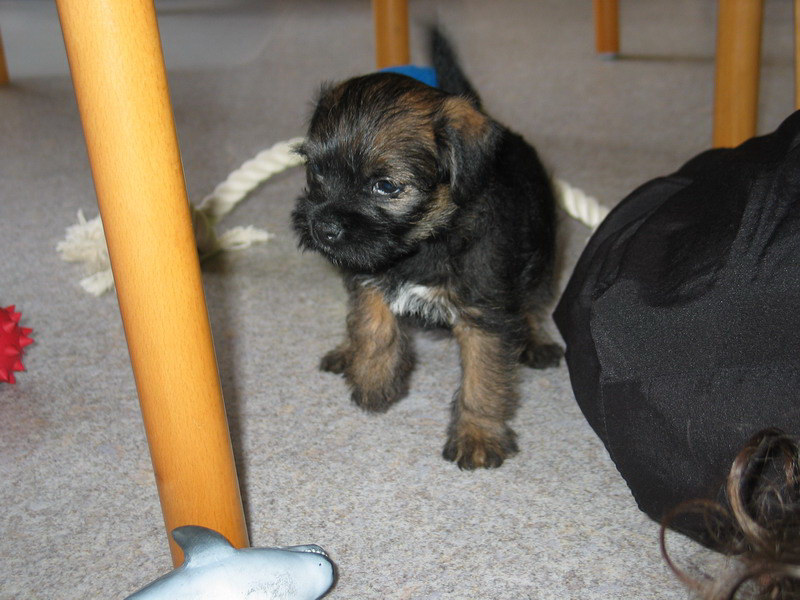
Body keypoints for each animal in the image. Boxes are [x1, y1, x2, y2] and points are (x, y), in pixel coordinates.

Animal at [292, 29, 562, 469]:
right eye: (315, 170)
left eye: (385, 186)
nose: (324, 227)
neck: (427, 240)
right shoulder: (369, 274)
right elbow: (372, 326)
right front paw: (374, 380)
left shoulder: (484, 316)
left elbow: (483, 379)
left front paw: (478, 434)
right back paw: (347, 352)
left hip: (543, 254)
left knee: (533, 303)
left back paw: (535, 342)